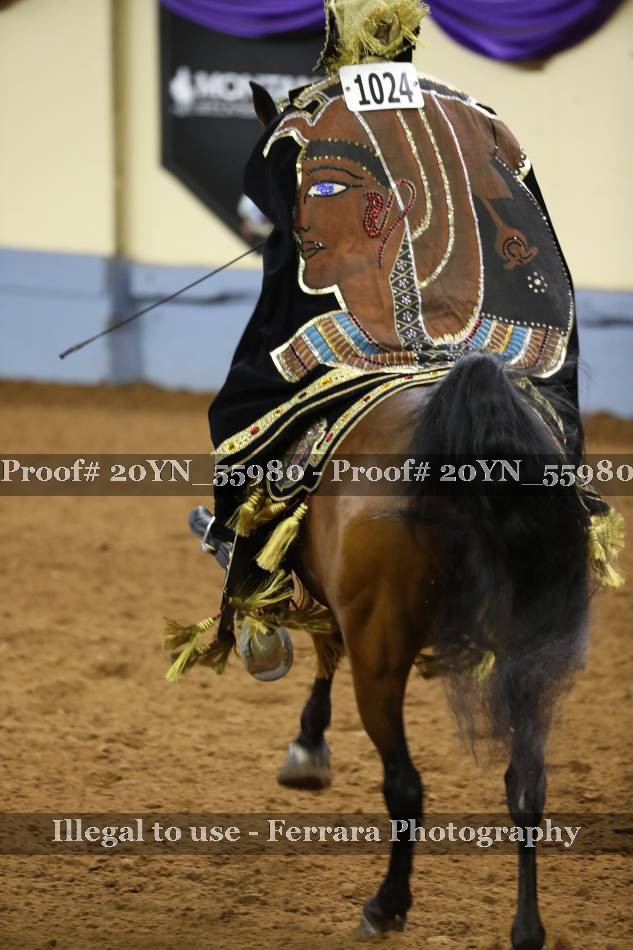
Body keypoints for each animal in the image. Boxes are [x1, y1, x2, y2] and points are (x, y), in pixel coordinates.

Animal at [271, 352, 590, 949]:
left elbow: (327, 646)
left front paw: (308, 744)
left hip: (380, 654)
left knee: (405, 784)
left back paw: (386, 904)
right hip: (525, 655)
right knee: (526, 786)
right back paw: (526, 927)